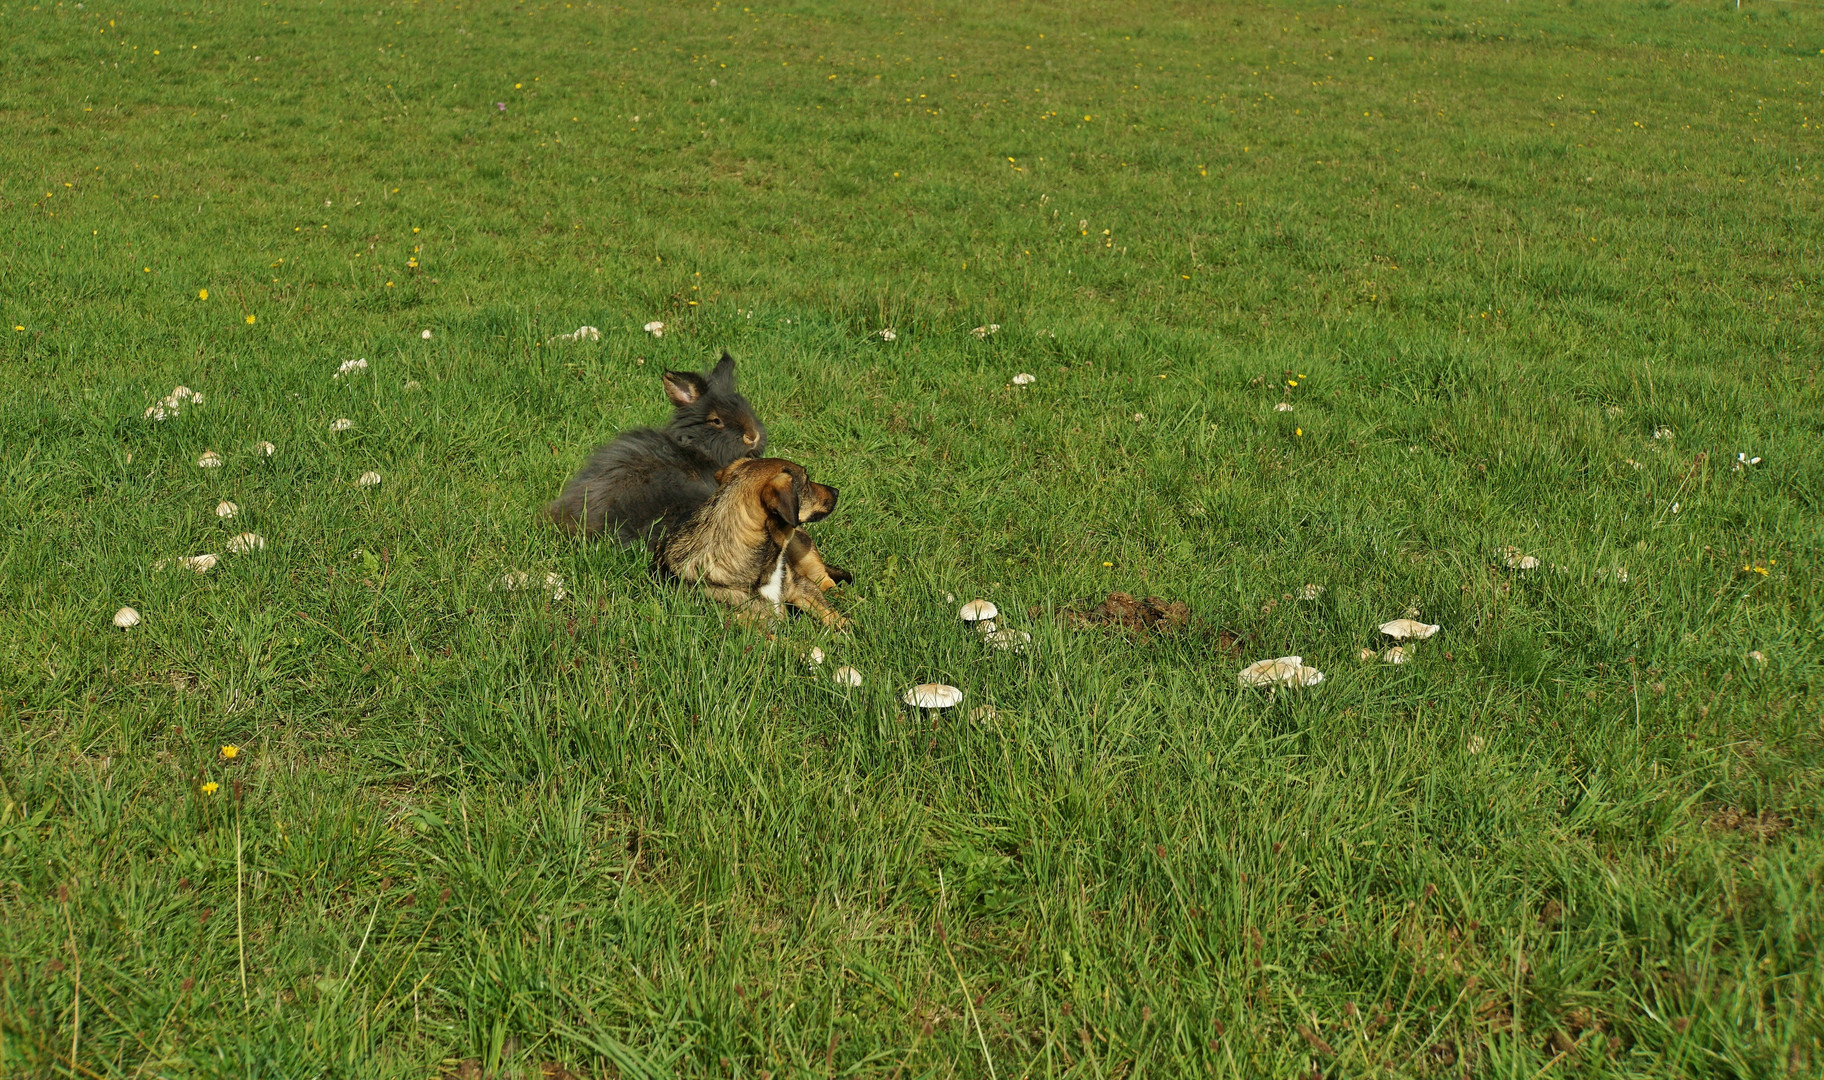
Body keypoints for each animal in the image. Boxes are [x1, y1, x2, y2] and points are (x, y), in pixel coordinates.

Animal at [656, 457, 853, 627]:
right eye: (807, 481)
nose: (837, 491)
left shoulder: (801, 585)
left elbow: (831, 614)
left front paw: (850, 630)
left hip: (803, 548)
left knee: (826, 581)